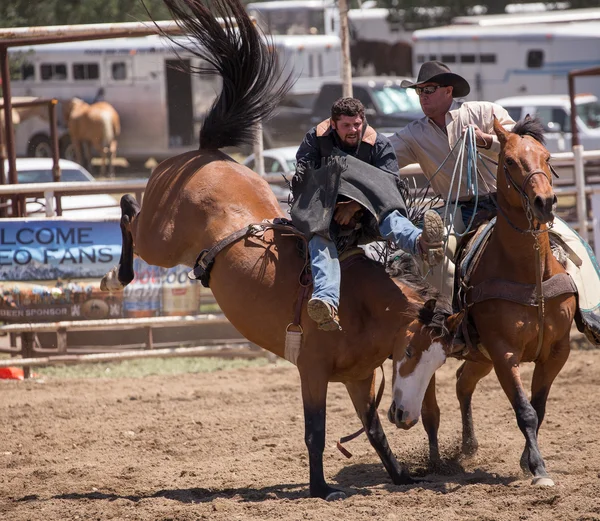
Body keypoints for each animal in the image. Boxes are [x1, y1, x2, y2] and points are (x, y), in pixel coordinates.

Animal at [101, 0, 462, 500]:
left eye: (439, 361)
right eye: (409, 352)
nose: (406, 417)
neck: (360, 306)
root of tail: (202, 153)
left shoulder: (359, 377)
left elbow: (373, 431)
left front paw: (400, 475)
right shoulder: (312, 370)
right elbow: (316, 431)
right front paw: (321, 488)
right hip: (160, 238)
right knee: (128, 208)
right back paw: (116, 276)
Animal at [386, 116, 580, 486]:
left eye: (547, 157)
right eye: (510, 162)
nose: (545, 202)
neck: (530, 276)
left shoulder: (558, 351)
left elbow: (539, 408)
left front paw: (526, 461)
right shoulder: (504, 353)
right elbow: (525, 410)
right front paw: (539, 470)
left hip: (480, 357)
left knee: (463, 383)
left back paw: (468, 445)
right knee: (431, 411)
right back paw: (437, 463)